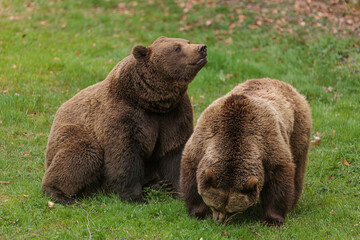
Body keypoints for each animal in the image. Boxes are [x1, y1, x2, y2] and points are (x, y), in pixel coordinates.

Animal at [41, 36, 208, 204]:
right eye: (177, 48)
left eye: (187, 42)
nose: (202, 48)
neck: (151, 101)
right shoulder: (122, 115)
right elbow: (124, 155)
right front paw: (135, 197)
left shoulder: (174, 115)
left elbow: (174, 152)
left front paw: (178, 191)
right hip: (73, 132)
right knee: (82, 154)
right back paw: (58, 193)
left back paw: (158, 185)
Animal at [181, 78, 310, 225]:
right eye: (214, 206)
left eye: (231, 211)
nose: (220, 221)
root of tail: (282, 83)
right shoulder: (204, 139)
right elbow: (191, 172)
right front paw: (199, 213)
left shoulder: (269, 145)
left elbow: (279, 178)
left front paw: (272, 220)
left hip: (298, 128)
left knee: (298, 166)